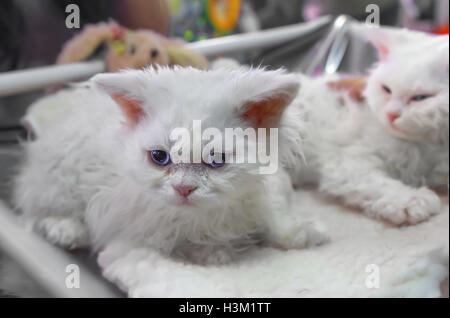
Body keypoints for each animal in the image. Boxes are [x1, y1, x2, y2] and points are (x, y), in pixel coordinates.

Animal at [14, 66, 326, 264]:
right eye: (159, 158)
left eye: (217, 160)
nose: (184, 189)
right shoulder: (136, 222)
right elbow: (183, 241)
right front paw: (217, 252)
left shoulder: (269, 188)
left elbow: (276, 216)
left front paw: (301, 234)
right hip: (61, 178)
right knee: (37, 210)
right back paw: (67, 230)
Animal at [294, 28, 448, 226]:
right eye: (386, 89)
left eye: (421, 98)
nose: (391, 114)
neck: (426, 144)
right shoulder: (348, 162)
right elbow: (380, 184)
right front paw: (411, 200)